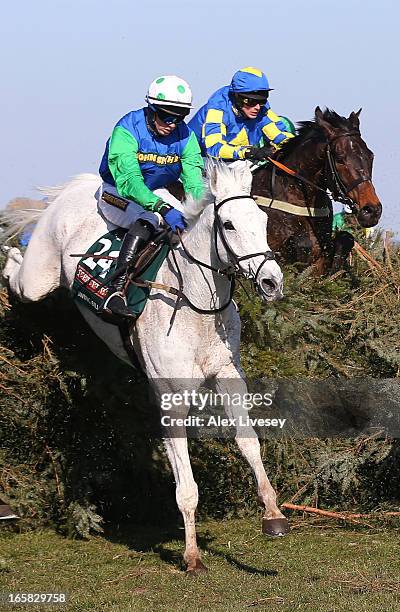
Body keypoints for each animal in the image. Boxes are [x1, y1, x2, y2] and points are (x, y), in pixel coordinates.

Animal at [0, 163, 288, 572]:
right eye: (229, 225)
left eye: (263, 221)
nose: (271, 281)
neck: (195, 305)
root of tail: (79, 186)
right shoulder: (171, 399)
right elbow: (186, 487)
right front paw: (192, 556)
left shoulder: (229, 377)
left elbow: (248, 441)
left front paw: (273, 514)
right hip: (38, 277)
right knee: (17, 273)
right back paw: (9, 251)